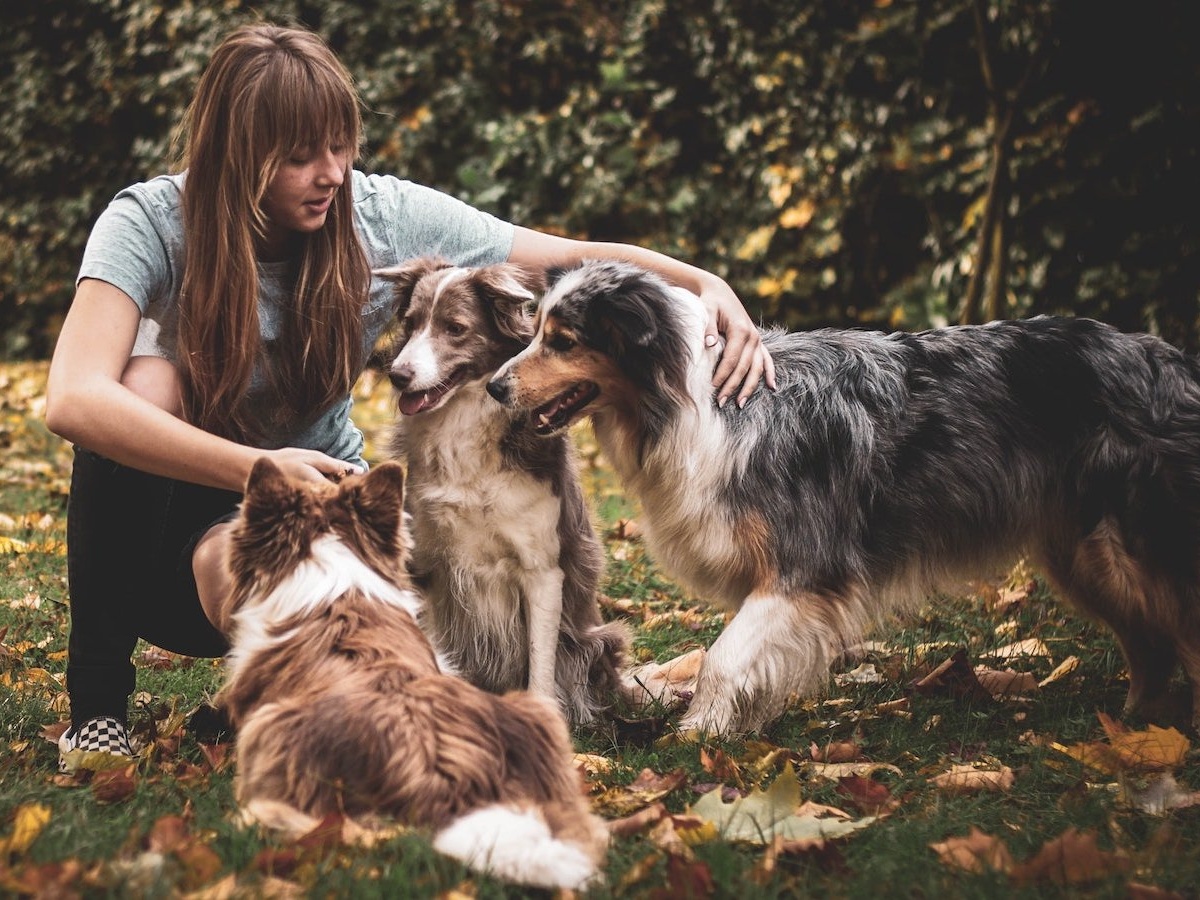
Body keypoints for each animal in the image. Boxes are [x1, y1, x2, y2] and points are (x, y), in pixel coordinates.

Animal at [376, 254, 633, 724]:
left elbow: (540, 664)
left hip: (595, 639)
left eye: (454, 328)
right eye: (411, 322)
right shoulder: (425, 564)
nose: (398, 376)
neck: (461, 427)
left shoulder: (542, 570)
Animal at [487, 260, 1200, 739]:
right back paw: (1138, 728)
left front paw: (700, 734)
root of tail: (1168, 358)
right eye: (537, 331)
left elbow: (723, 658)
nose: (494, 387)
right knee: (1151, 644)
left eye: (563, 341)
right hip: (1086, 556)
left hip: (1139, 549)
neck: (698, 408)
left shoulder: (804, 567)